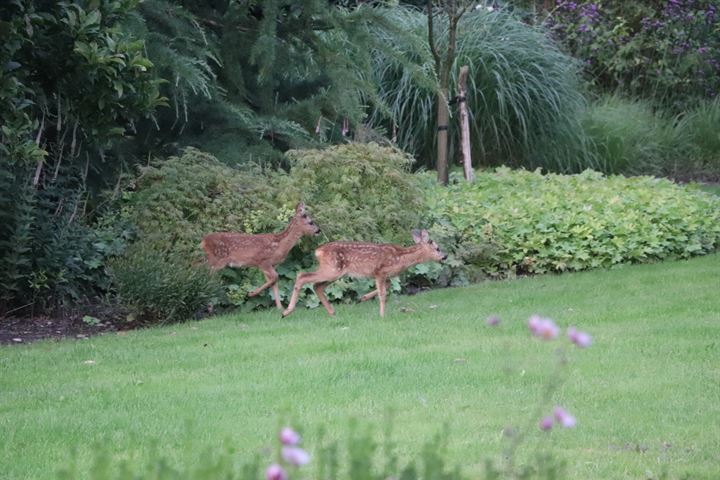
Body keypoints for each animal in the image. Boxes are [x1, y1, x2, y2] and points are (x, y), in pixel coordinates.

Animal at [282, 230, 444, 318]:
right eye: (437, 248)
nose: (445, 256)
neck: (401, 257)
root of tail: (318, 251)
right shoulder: (380, 271)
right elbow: (383, 294)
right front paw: (382, 315)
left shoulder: (385, 276)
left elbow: (386, 287)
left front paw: (362, 298)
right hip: (332, 270)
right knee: (303, 276)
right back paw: (286, 311)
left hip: (335, 272)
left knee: (317, 286)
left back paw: (332, 313)